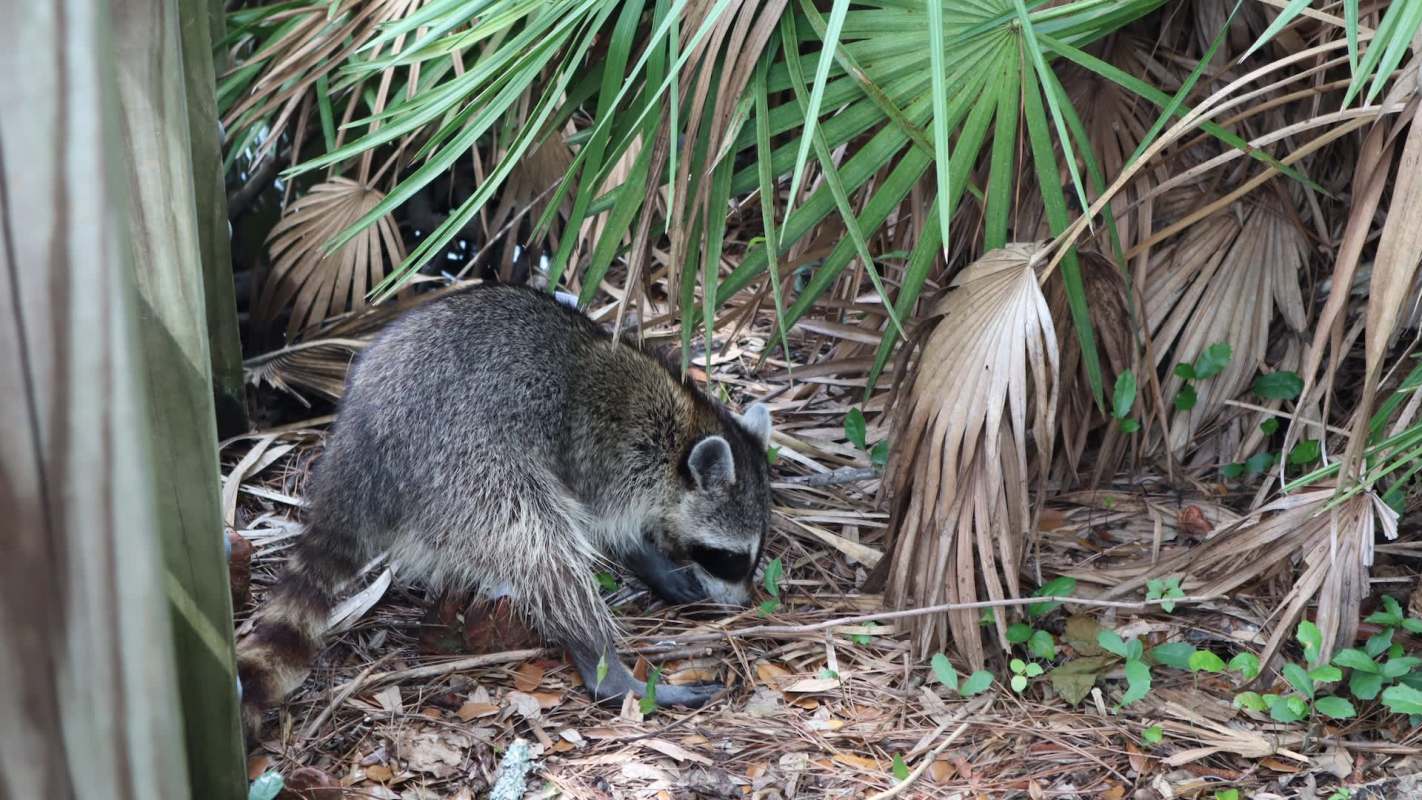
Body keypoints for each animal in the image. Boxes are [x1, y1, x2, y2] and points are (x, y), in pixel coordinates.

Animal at [236, 283, 773, 736]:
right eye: (729, 558)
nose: (740, 604)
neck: (683, 433)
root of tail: (359, 439)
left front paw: (655, 563)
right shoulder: (608, 452)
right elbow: (594, 520)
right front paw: (644, 554)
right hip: (464, 463)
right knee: (544, 551)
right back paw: (605, 665)